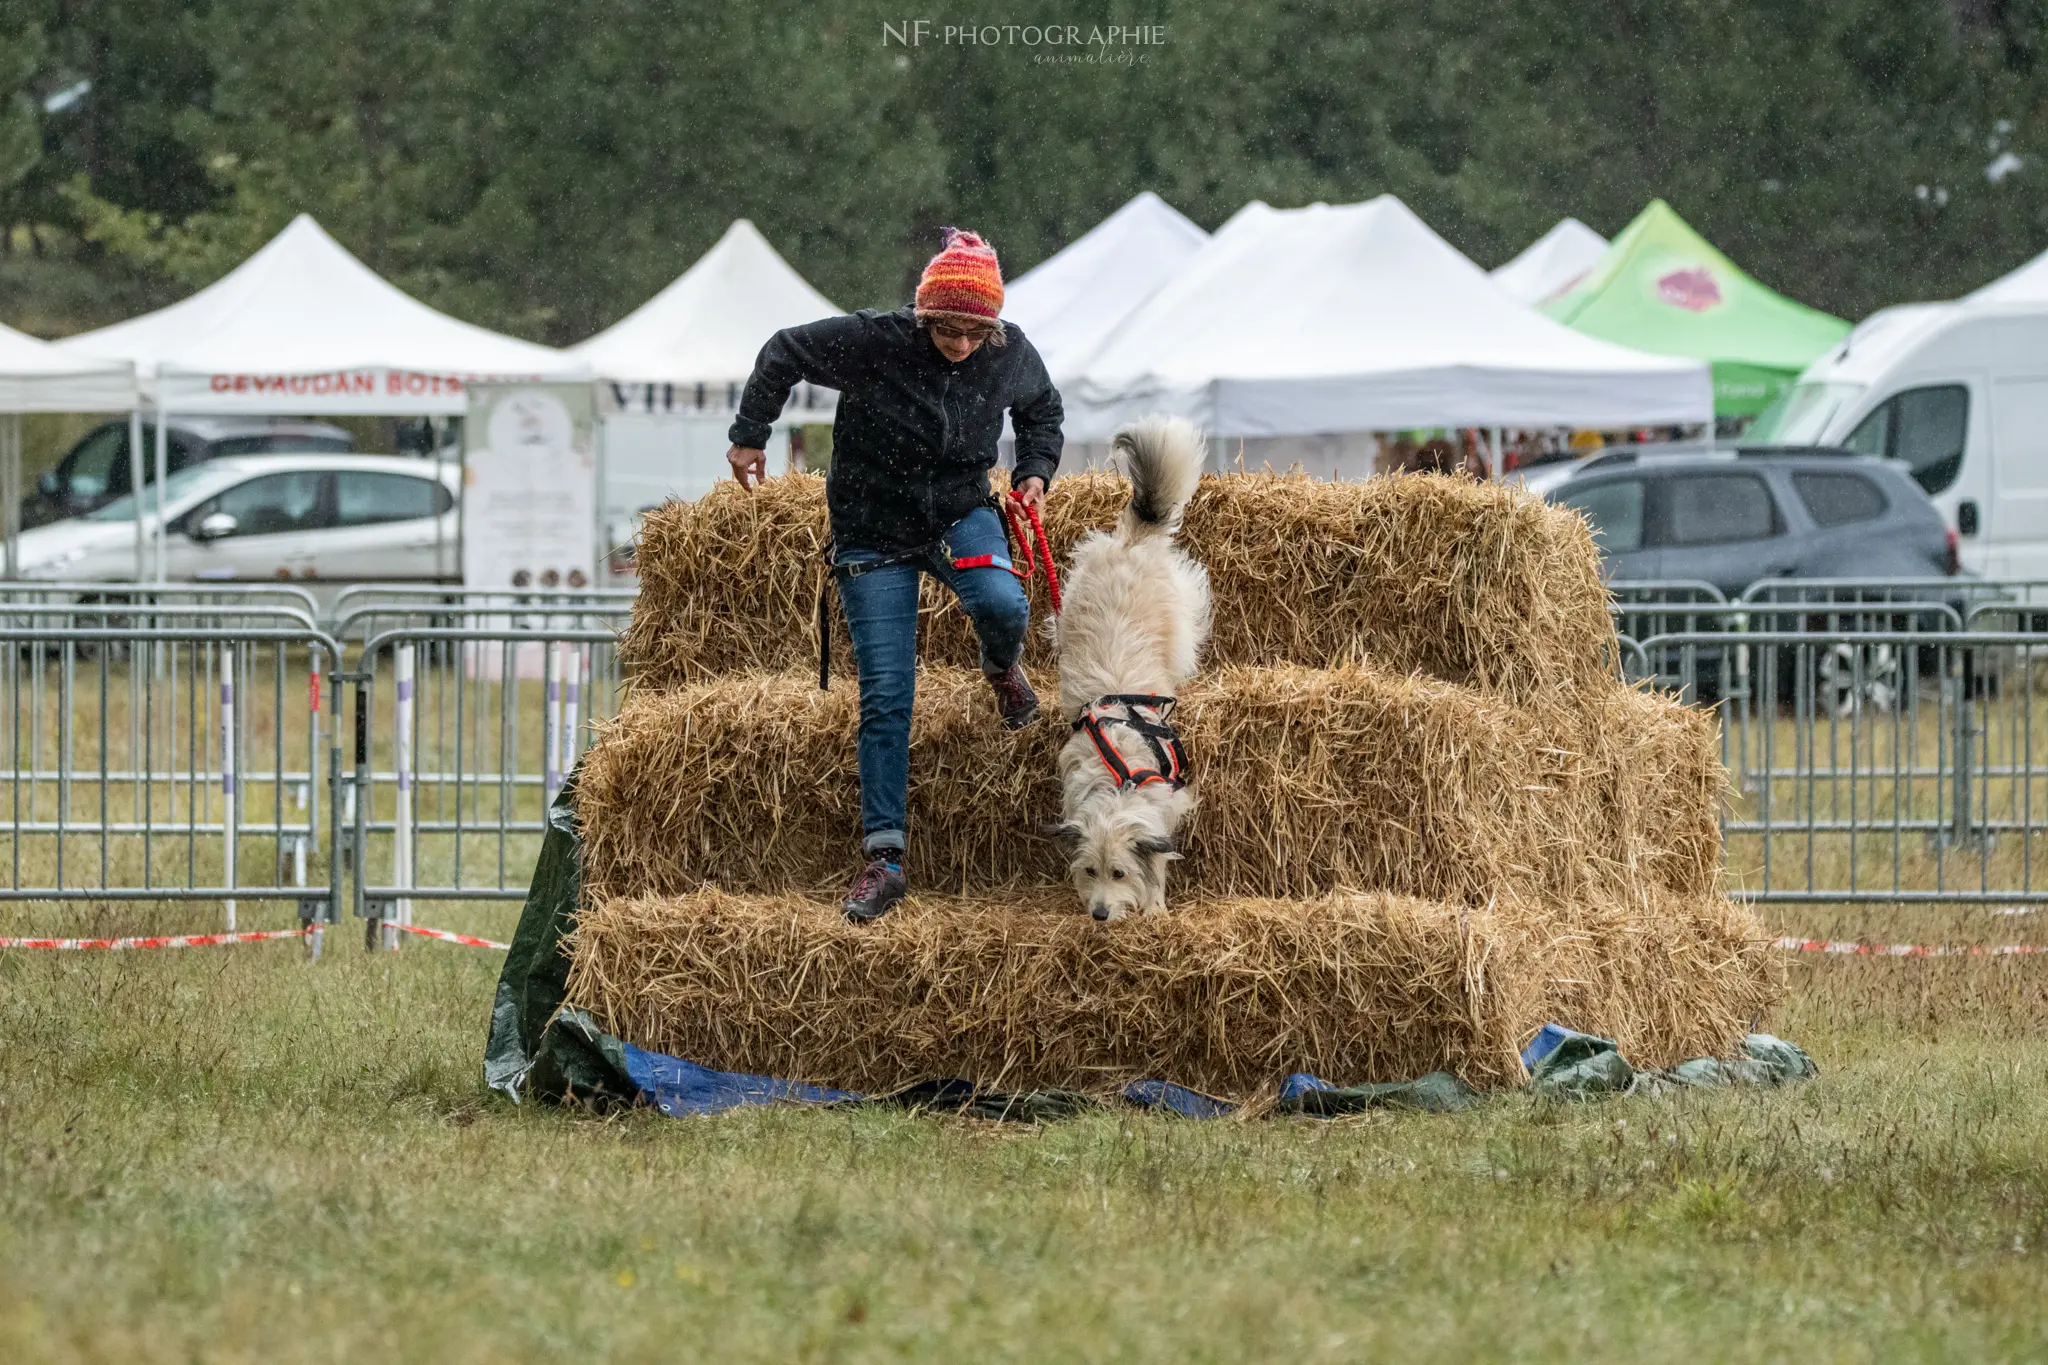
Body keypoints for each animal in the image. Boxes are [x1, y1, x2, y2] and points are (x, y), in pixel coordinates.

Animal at [1056, 419, 1212, 916]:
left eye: (1120, 873)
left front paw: (1156, 903)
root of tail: (1130, 542)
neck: (1118, 785)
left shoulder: (1169, 805)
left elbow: (1160, 859)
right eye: (1091, 871)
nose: (1100, 914)